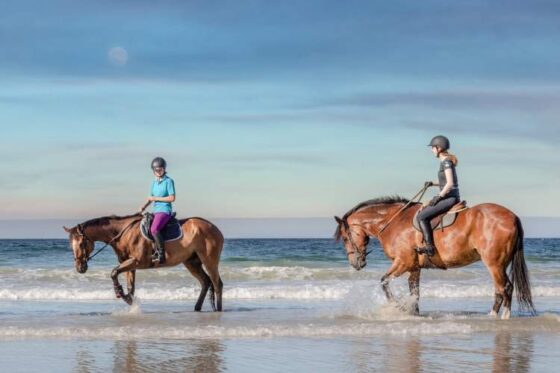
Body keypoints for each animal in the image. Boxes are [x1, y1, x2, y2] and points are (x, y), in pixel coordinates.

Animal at [62, 214, 224, 310]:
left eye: (81, 244)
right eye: (71, 245)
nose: (80, 268)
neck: (123, 233)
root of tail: (215, 228)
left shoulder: (136, 262)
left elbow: (113, 272)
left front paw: (120, 293)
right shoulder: (130, 265)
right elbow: (130, 287)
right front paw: (129, 299)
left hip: (209, 260)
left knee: (217, 283)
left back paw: (218, 310)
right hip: (191, 262)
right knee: (205, 282)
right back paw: (197, 308)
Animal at [334, 196, 536, 318]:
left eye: (345, 238)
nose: (356, 264)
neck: (393, 222)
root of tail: (512, 216)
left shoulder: (403, 262)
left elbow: (384, 282)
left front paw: (398, 307)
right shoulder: (413, 267)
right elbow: (414, 292)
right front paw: (413, 313)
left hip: (493, 263)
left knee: (504, 287)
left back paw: (497, 316)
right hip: (500, 263)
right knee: (504, 288)